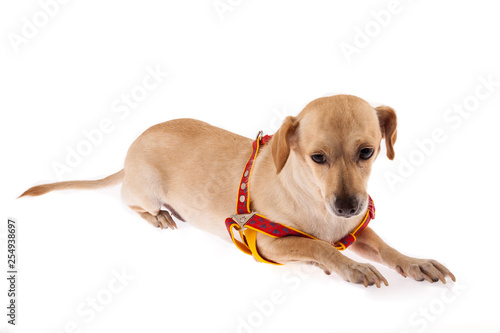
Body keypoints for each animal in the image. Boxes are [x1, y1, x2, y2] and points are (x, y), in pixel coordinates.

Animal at [19, 93, 456, 286]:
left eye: (368, 152)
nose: (349, 207)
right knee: (130, 203)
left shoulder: (356, 231)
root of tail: (129, 153)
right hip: (143, 191)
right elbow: (317, 247)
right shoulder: (269, 244)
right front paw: (349, 266)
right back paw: (160, 215)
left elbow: (384, 246)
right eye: (317, 158)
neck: (315, 202)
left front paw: (414, 262)